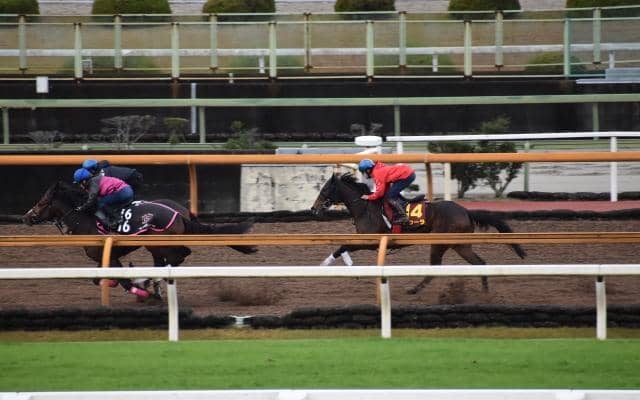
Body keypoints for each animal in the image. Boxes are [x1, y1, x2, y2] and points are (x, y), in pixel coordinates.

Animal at [22, 181, 257, 299]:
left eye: (42, 202)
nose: (26, 217)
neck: (86, 220)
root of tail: (179, 213)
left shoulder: (109, 256)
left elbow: (124, 281)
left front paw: (140, 288)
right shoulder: (105, 257)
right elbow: (100, 278)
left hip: (157, 243)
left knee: (180, 255)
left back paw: (151, 282)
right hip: (157, 246)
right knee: (169, 260)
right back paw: (155, 283)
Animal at [310, 173, 527, 295]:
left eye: (325, 189)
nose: (313, 209)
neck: (365, 207)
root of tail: (465, 211)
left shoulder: (371, 242)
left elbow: (342, 246)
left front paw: (324, 265)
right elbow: (343, 246)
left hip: (440, 242)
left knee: (436, 267)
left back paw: (414, 290)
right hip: (460, 244)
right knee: (480, 263)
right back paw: (484, 292)